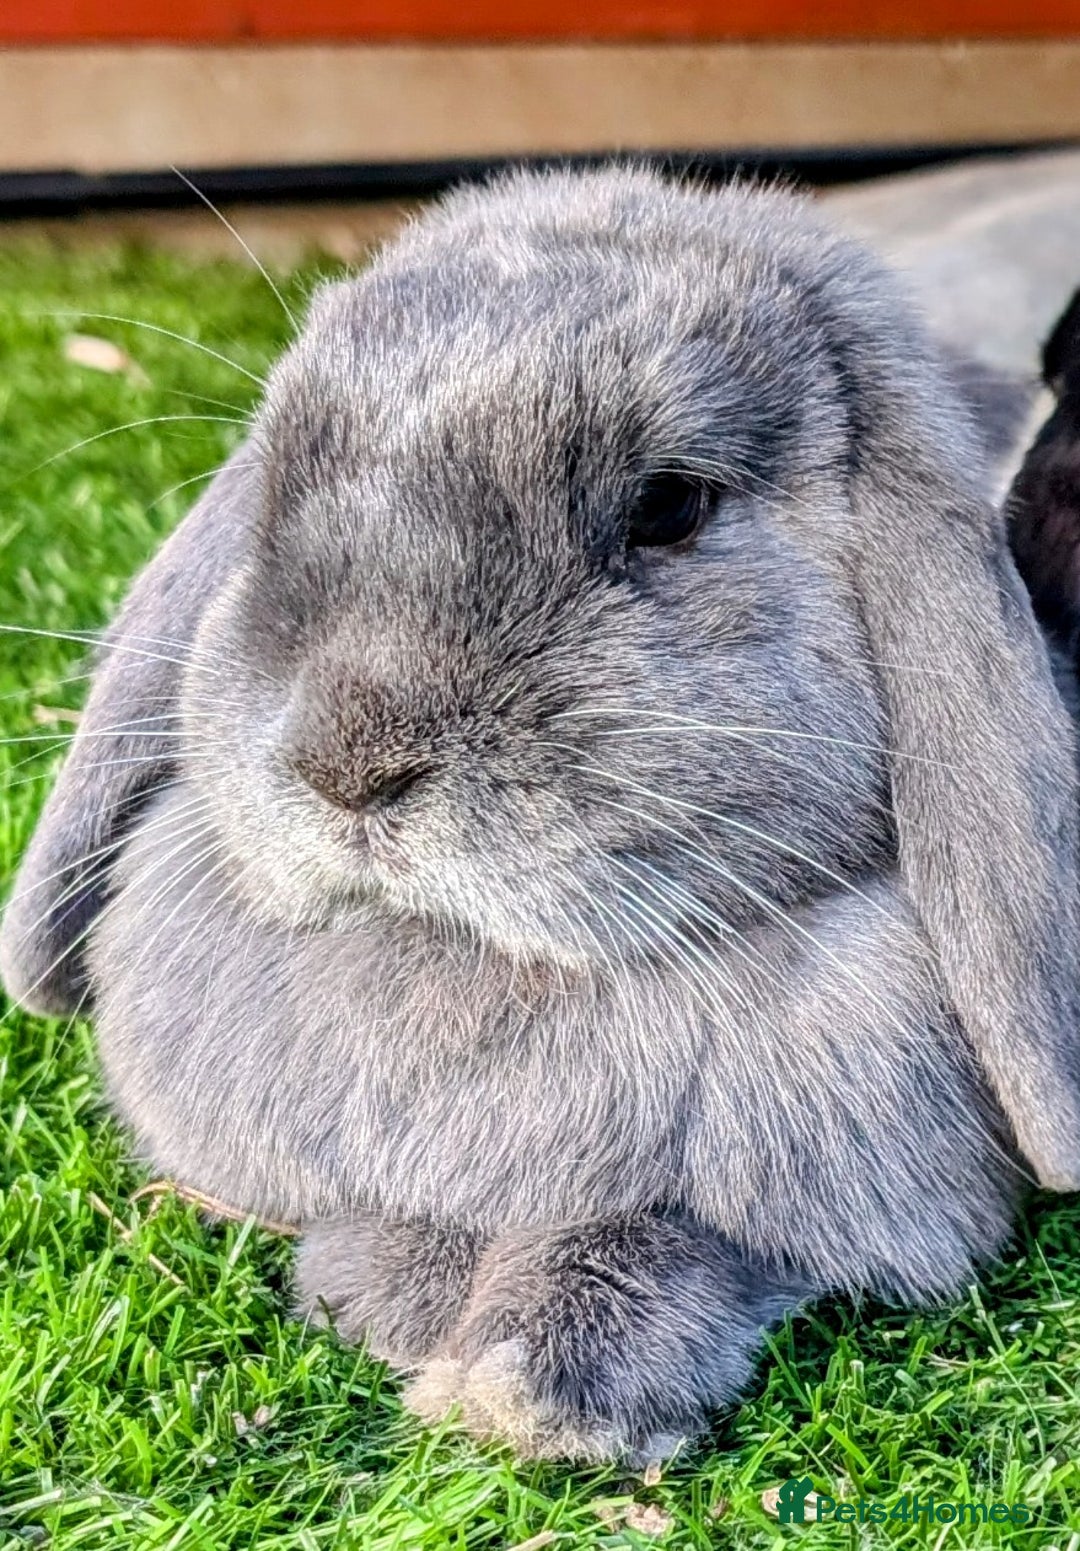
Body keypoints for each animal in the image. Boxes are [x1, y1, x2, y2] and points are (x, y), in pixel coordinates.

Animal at [4, 166, 1080, 1463]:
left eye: (668, 506)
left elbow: (672, 1244)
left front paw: (532, 1389)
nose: (348, 764)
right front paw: (394, 1299)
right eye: (274, 489)